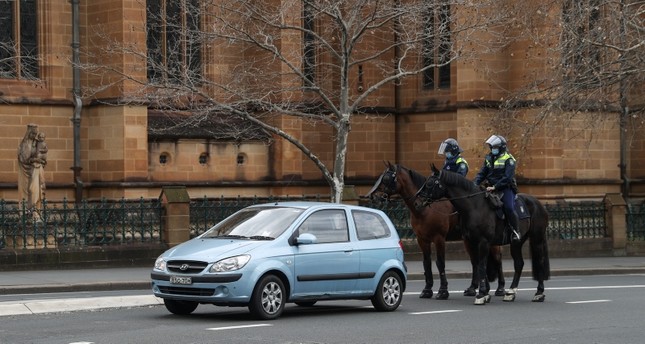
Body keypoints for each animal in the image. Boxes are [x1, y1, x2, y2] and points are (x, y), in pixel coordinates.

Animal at [364, 161, 506, 298]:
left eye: (386, 179)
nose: (372, 196)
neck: (424, 209)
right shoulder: (422, 240)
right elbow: (427, 263)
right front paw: (427, 290)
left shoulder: (439, 238)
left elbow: (440, 263)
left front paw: (443, 291)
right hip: (469, 241)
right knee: (476, 261)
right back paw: (475, 288)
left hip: (490, 242)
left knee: (497, 260)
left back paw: (500, 288)